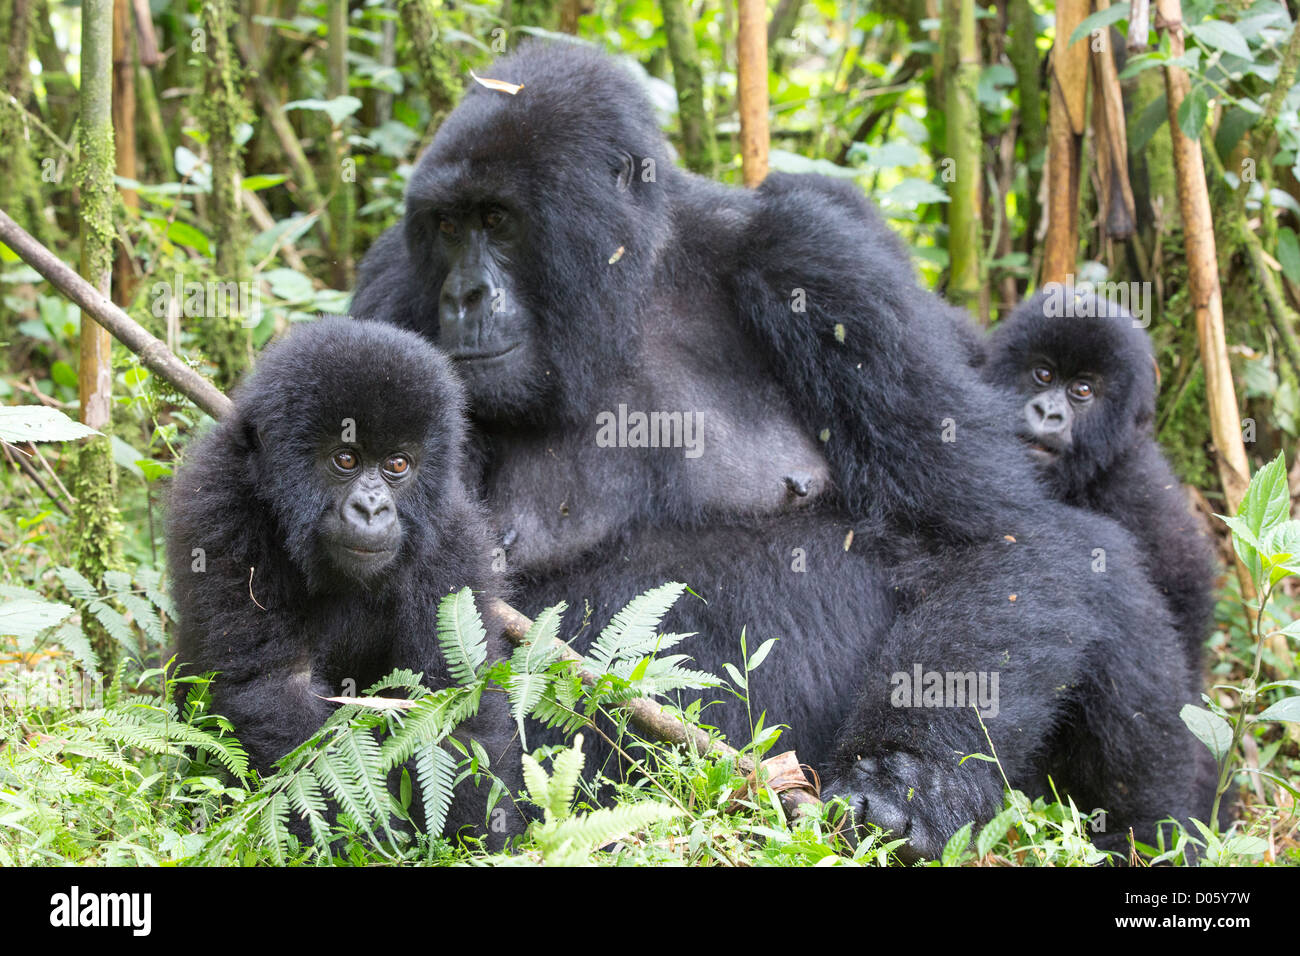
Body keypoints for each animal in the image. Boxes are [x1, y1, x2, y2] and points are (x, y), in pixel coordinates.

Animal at [165, 317, 520, 848]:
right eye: (346, 460)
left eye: (397, 464)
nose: (372, 509)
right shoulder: (218, 508)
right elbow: (276, 689)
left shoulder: (453, 536)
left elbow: (452, 703)